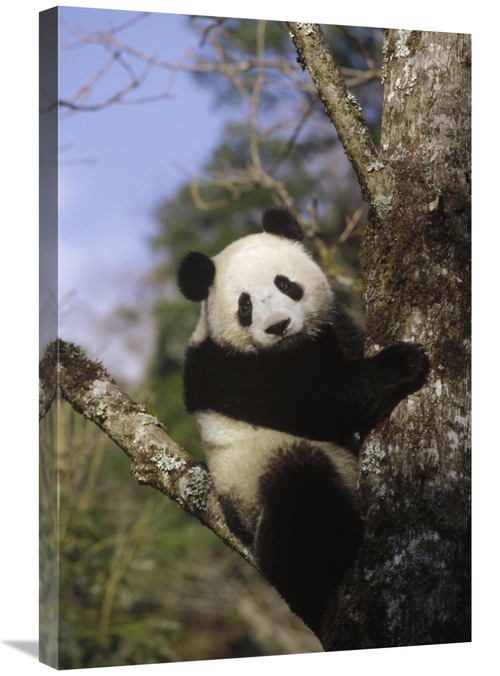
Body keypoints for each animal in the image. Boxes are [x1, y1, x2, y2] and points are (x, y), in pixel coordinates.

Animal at [177, 206, 429, 634]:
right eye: (245, 306)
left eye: (285, 284)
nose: (278, 326)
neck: (291, 350)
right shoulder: (229, 371)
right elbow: (316, 400)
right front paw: (403, 363)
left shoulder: (330, 331)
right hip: (257, 476)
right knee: (298, 499)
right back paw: (324, 577)